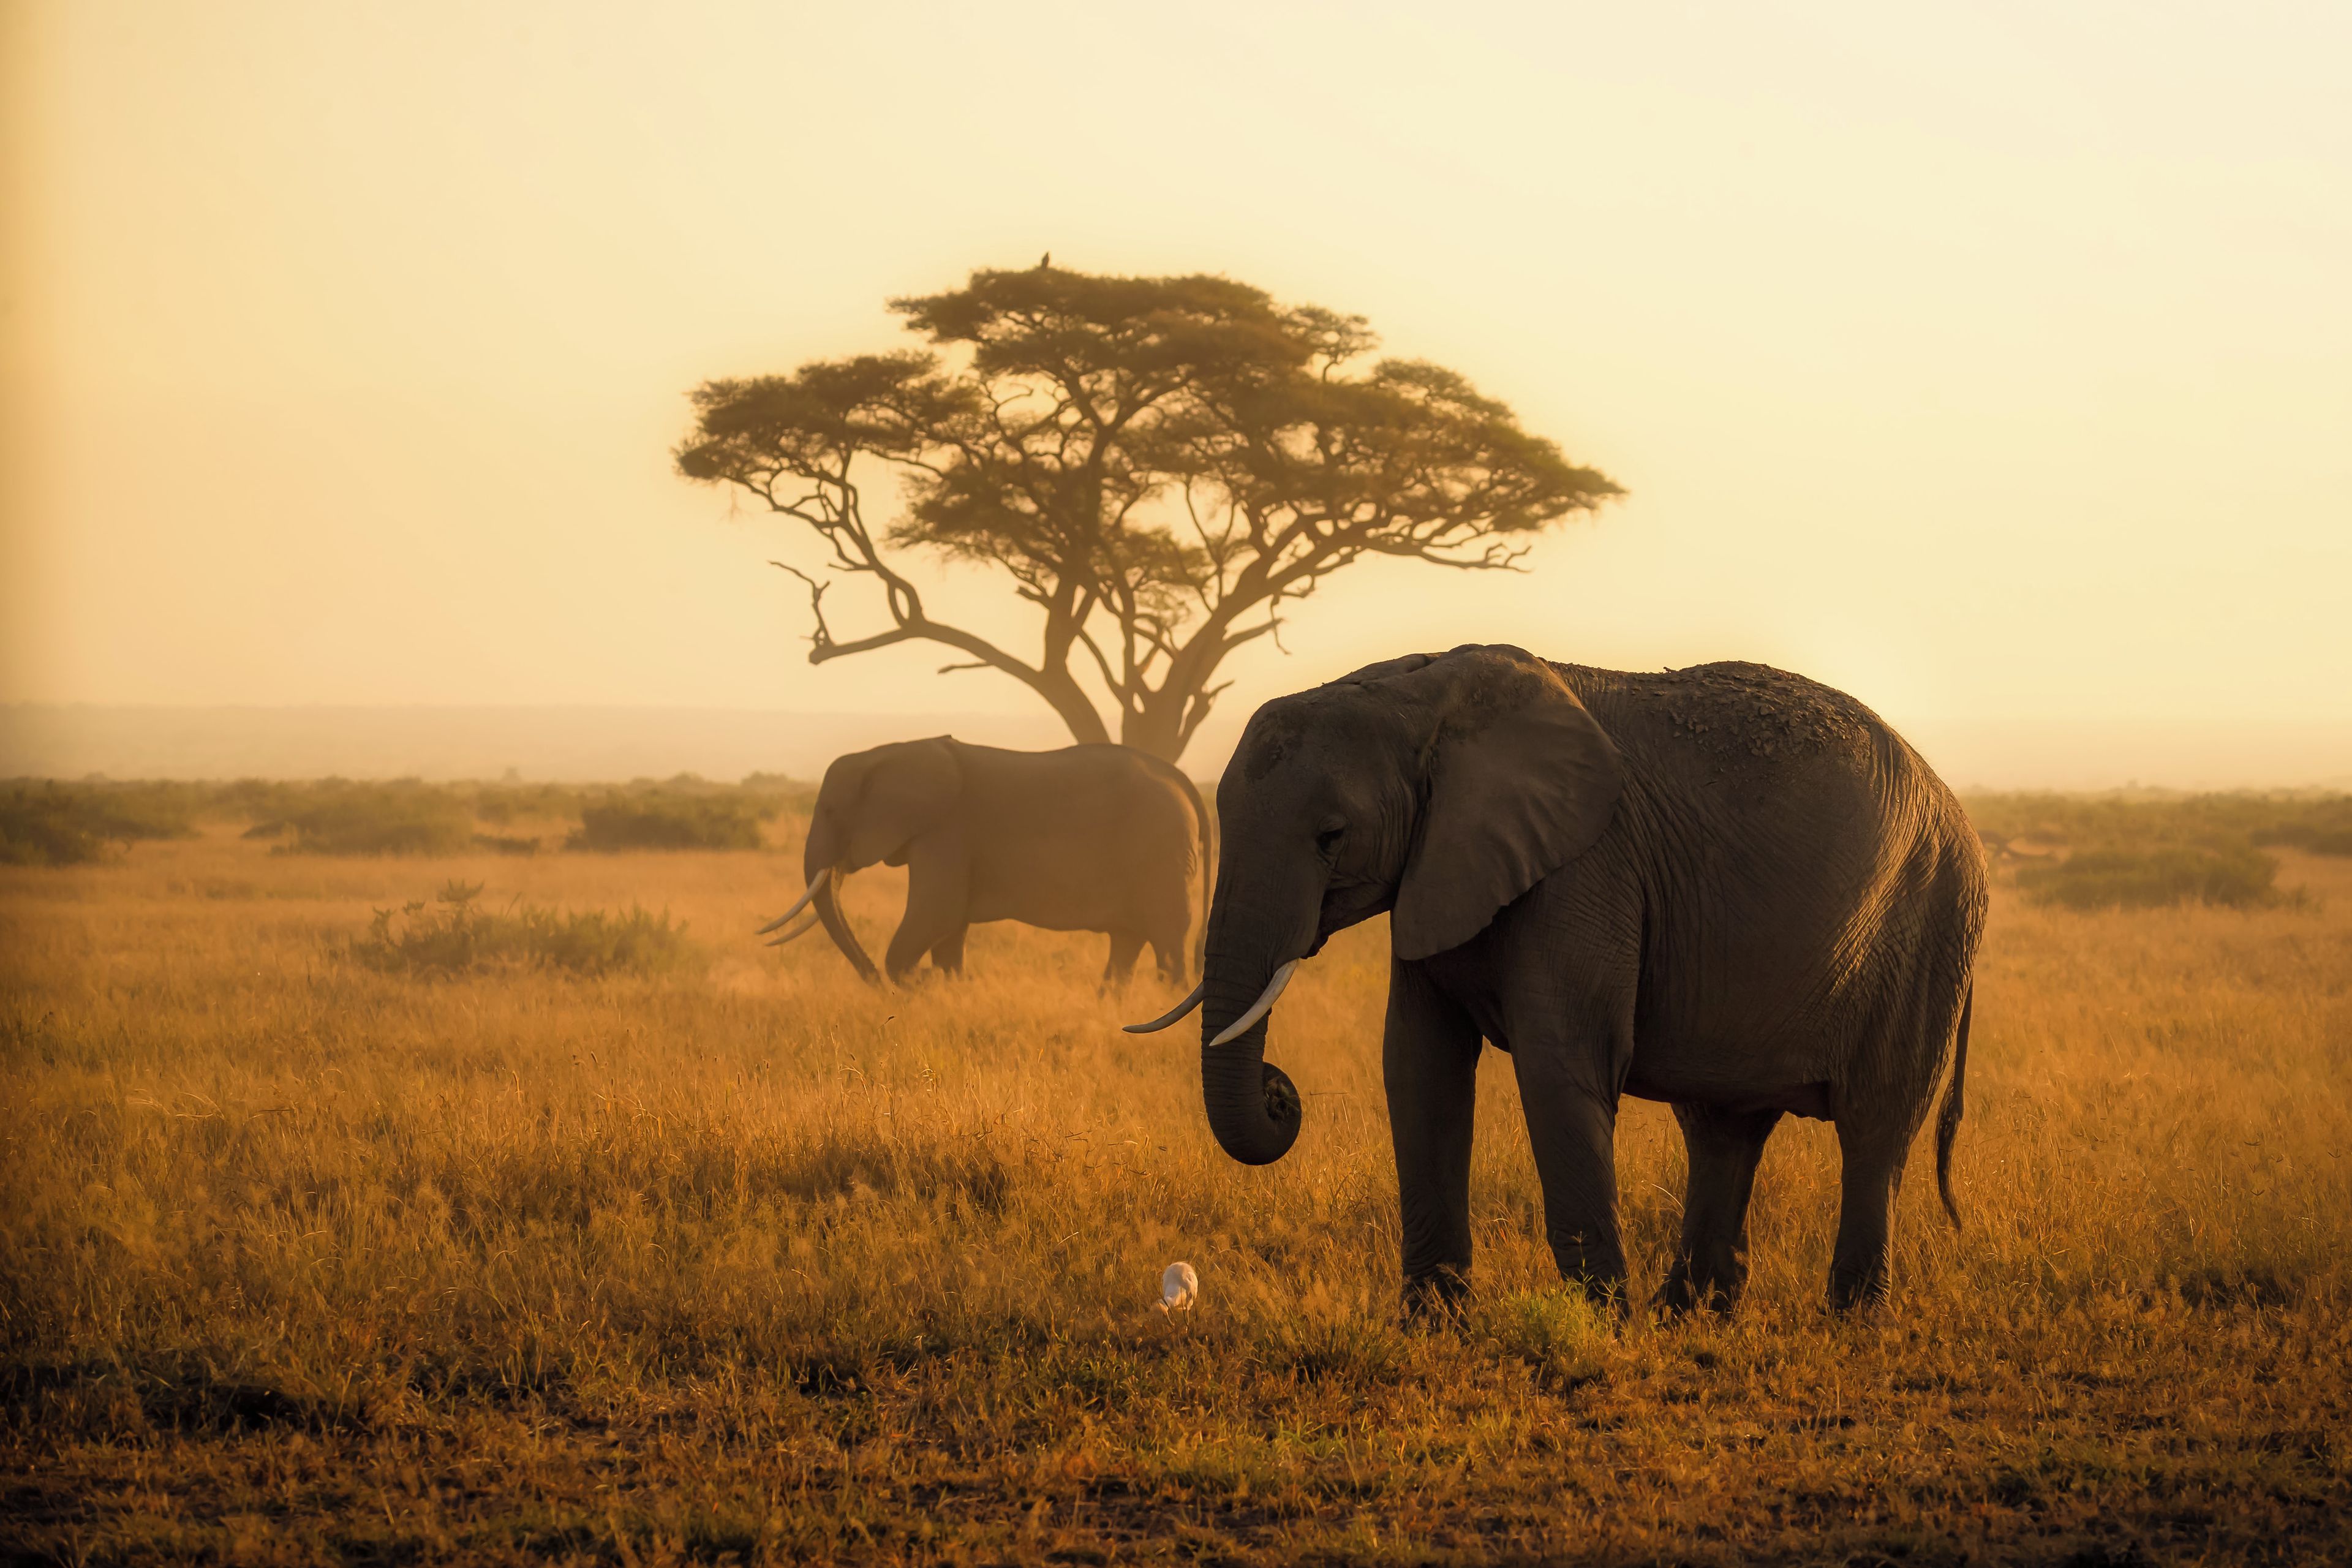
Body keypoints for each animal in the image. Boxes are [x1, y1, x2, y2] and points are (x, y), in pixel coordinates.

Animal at [760, 738, 1209, 989]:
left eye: (830, 811)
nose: (876, 988)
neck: (890, 752)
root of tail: (1179, 777)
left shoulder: (946, 832)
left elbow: (937, 917)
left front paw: (924, 984)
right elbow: (948, 931)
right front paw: (950, 987)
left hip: (1162, 851)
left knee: (1168, 943)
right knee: (1127, 942)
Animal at [1129, 645, 1985, 1317]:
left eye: (1332, 837)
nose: (1279, 1091)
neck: (1412, 695)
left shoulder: (1585, 868)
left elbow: (1558, 1066)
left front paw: (1603, 1326)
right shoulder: (1439, 865)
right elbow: (1419, 1068)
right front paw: (1434, 1327)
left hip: (1927, 932)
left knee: (1875, 1128)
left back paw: (1849, 1322)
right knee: (1723, 1127)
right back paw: (1690, 1316)